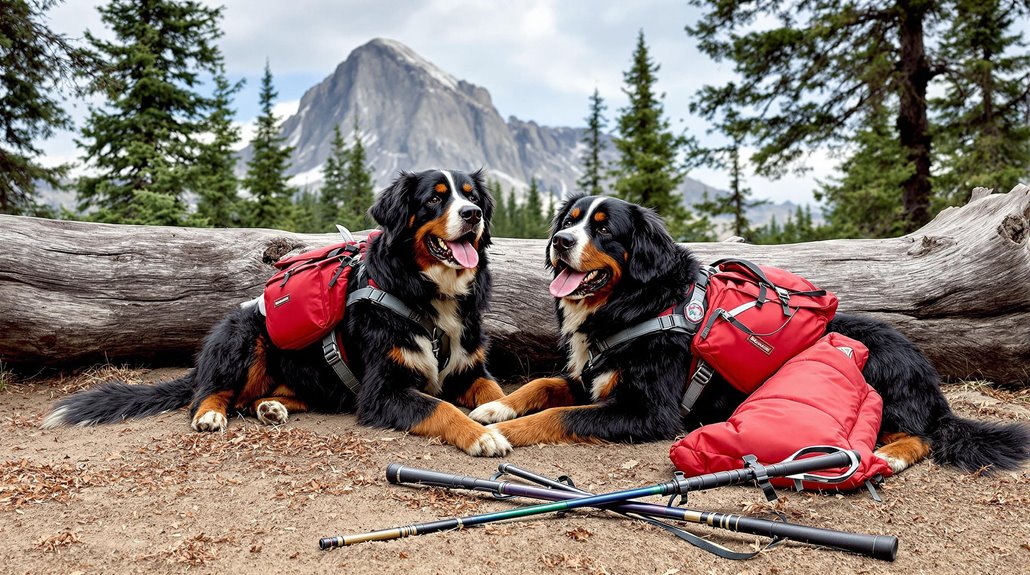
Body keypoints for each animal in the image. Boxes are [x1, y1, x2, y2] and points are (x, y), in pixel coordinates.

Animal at [47, 168, 515, 457]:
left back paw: (270, 408)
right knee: (209, 392)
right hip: (244, 333)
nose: (472, 214)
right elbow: (441, 409)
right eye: (435, 200)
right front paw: (481, 436)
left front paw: (498, 415)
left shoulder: (469, 368)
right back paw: (211, 414)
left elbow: (496, 391)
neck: (429, 295)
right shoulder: (383, 391)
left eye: (472, 197)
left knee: (257, 397)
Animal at [469, 193, 1030, 474]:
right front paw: (495, 409)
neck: (638, 304)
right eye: (568, 220)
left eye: (604, 229)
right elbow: (542, 385)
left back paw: (890, 455)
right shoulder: (594, 374)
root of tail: (928, 378)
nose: (561, 241)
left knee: (924, 435)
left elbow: (558, 416)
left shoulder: (649, 409)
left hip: (881, 372)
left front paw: (504, 432)